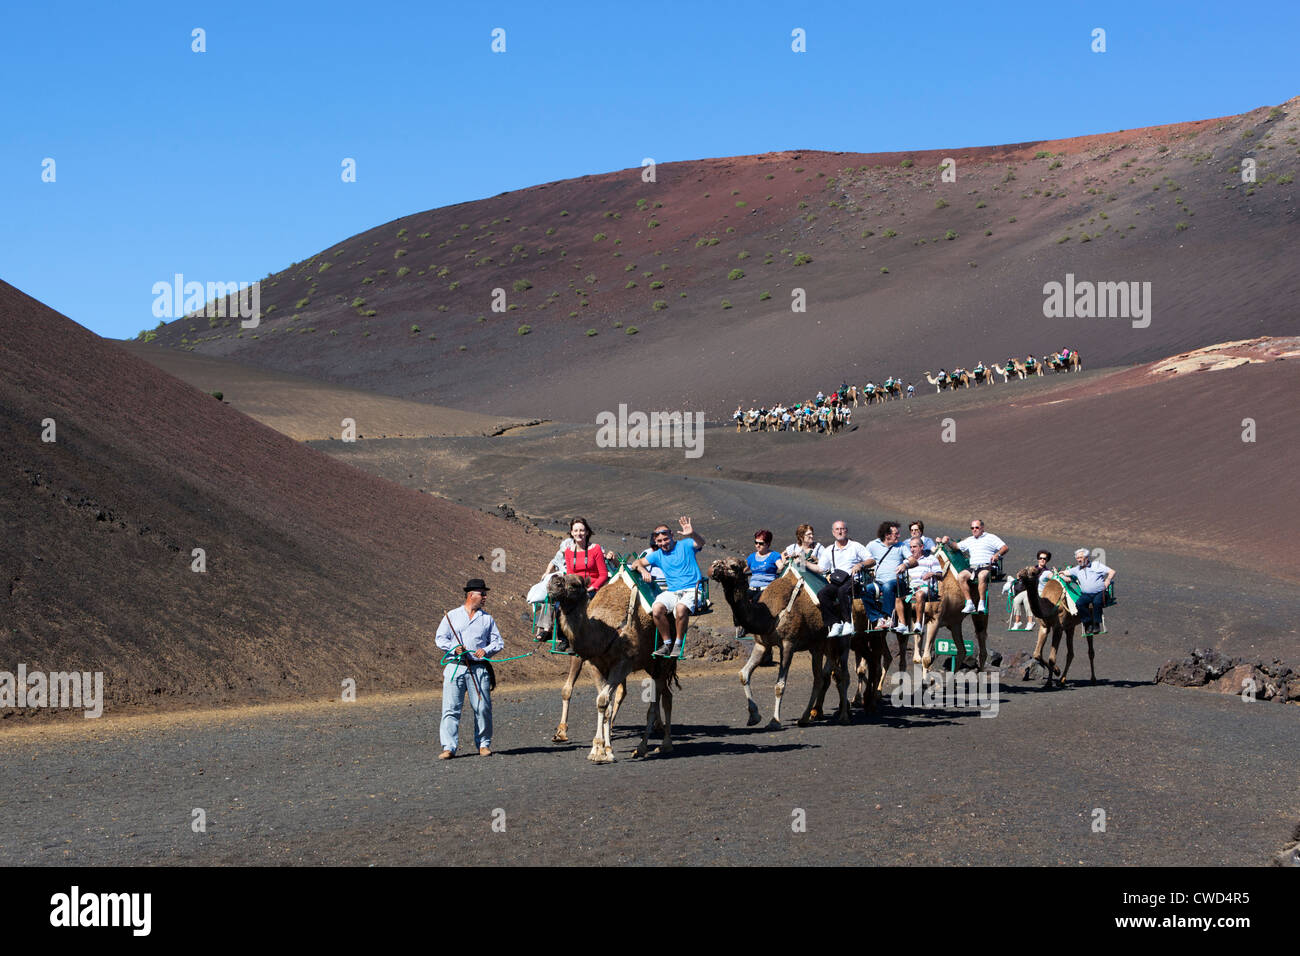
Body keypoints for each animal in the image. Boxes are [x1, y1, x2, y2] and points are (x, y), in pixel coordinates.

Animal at [546, 567, 676, 764]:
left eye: (575, 584)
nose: (554, 582)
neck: (607, 633)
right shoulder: (594, 665)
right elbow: (604, 704)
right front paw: (602, 749)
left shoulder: (622, 664)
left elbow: (602, 700)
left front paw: (601, 751)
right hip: (650, 664)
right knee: (664, 695)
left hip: (663, 661)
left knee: (659, 701)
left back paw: (651, 746)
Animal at [707, 556, 857, 728]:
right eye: (718, 561)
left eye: (733, 566)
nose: (713, 569)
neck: (769, 615)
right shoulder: (762, 644)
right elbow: (743, 674)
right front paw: (754, 716)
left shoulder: (788, 644)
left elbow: (780, 685)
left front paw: (774, 721)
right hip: (820, 646)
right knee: (821, 678)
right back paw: (806, 717)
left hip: (843, 641)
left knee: (843, 674)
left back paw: (843, 716)